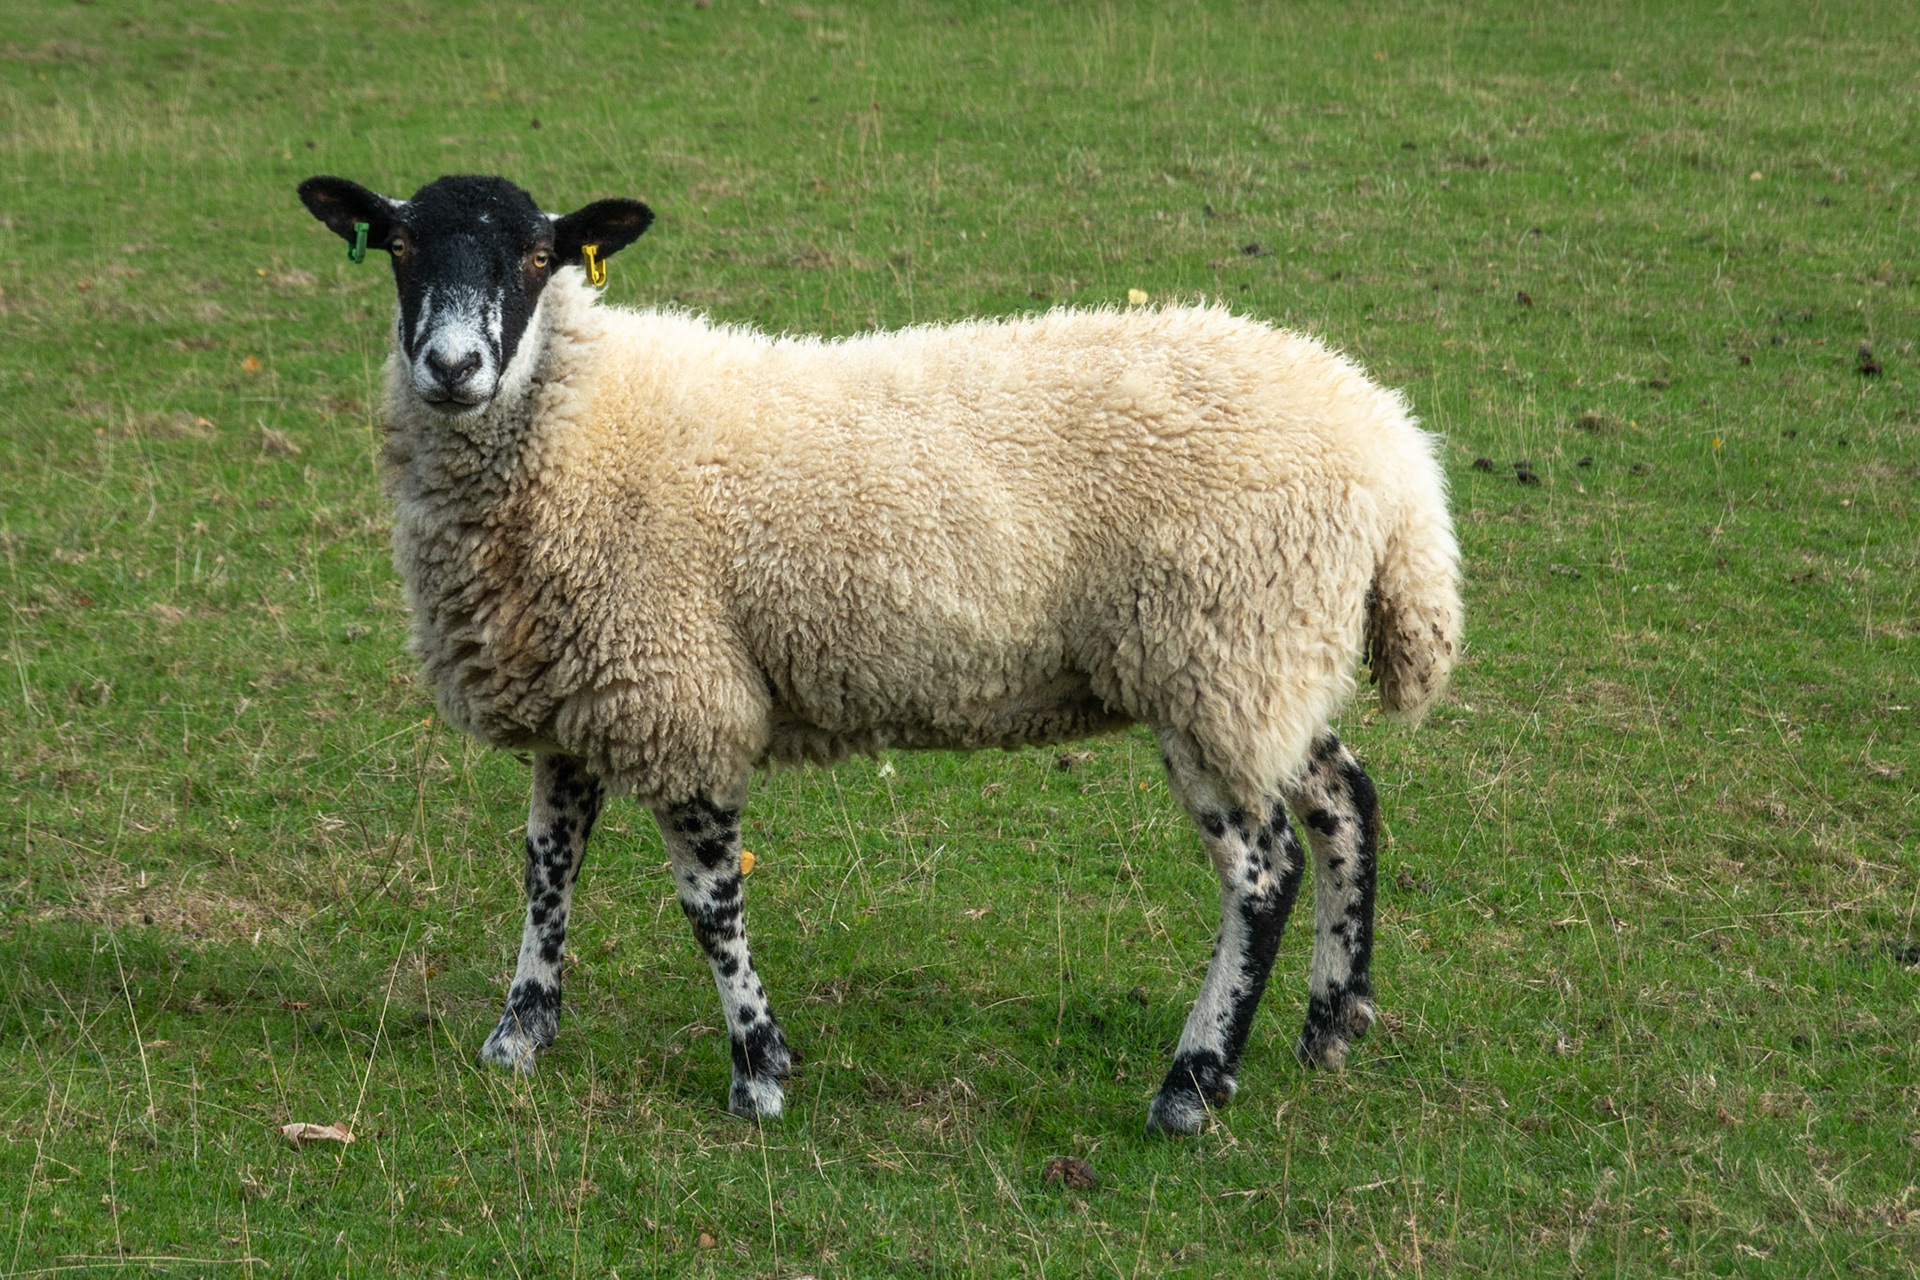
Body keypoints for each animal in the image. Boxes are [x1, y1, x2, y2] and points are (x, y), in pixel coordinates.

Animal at [296, 172, 1462, 1134]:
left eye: (538, 256)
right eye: (399, 244)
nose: (453, 366)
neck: (573, 422)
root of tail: (1395, 450)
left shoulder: (681, 692)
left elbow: (709, 900)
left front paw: (758, 1070)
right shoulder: (583, 690)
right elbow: (548, 864)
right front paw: (519, 1033)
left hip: (1215, 655)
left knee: (1264, 869)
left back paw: (1193, 1082)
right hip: (1269, 666)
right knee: (1344, 798)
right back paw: (1331, 1022)